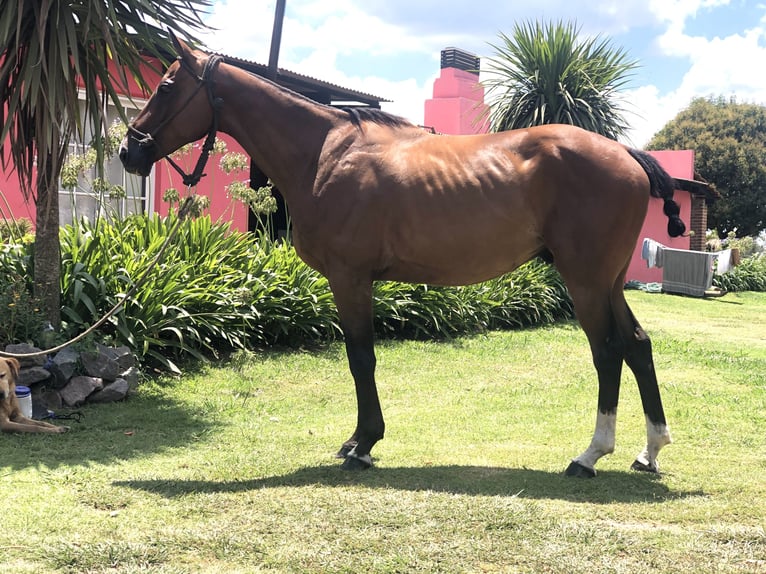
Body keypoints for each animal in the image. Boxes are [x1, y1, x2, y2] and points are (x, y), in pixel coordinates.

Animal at [121, 33, 688, 480]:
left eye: (166, 87)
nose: (130, 151)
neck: (325, 153)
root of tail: (626, 154)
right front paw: (359, 440)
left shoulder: (350, 278)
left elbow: (360, 357)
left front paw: (364, 444)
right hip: (608, 282)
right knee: (637, 346)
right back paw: (649, 451)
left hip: (586, 281)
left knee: (608, 352)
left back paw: (590, 455)